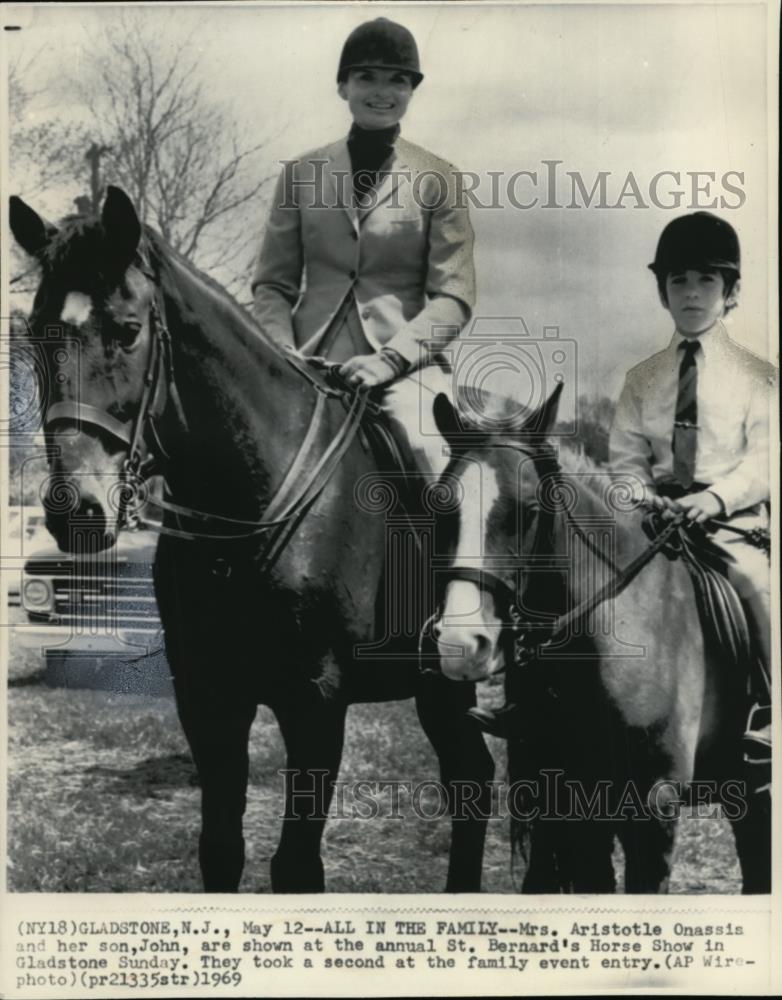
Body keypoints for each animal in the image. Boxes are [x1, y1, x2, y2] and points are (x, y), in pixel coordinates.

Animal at [9, 186, 494, 892]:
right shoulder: (207, 697)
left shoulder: (315, 701)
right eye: (36, 333)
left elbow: (296, 866)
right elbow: (220, 849)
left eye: (126, 331)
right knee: (471, 775)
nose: (78, 511)